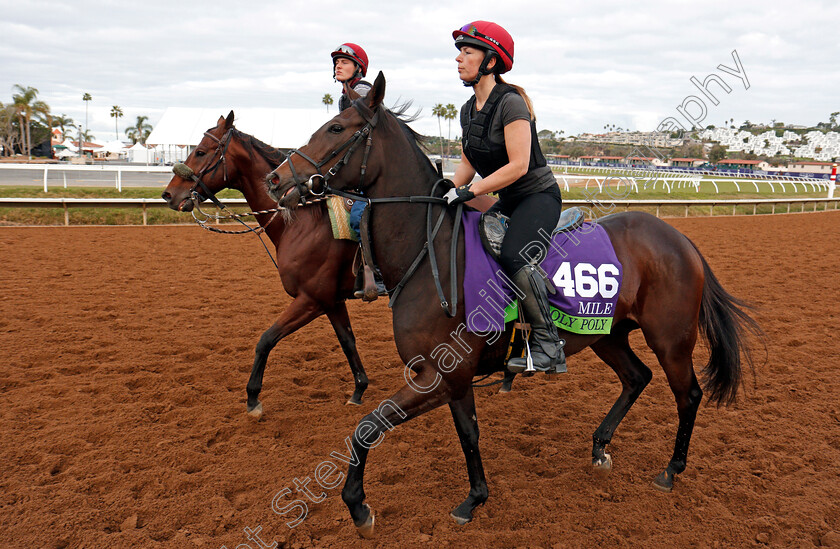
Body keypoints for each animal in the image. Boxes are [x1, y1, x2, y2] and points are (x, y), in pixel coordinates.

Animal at [162, 110, 370, 412]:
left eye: (200, 152)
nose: (169, 194)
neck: (305, 222)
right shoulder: (332, 301)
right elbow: (347, 341)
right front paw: (359, 389)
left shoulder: (312, 300)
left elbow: (266, 339)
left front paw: (253, 396)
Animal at [268, 75, 760, 536]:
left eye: (336, 127)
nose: (276, 179)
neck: (429, 253)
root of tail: (679, 239)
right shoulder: (450, 377)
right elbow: (465, 432)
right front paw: (474, 498)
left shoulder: (438, 374)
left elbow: (369, 426)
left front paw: (358, 505)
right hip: (606, 334)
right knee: (637, 377)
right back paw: (600, 446)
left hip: (671, 339)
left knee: (688, 394)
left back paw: (670, 470)